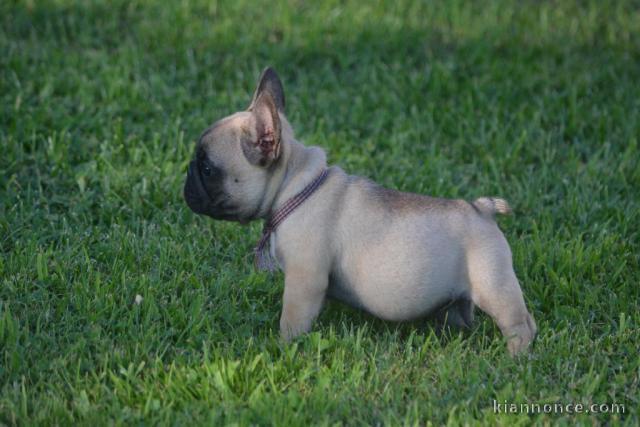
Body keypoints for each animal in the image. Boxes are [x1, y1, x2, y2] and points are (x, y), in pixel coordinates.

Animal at [184, 67, 536, 354]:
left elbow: (293, 319)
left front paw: (283, 346)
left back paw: (517, 356)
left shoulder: (304, 279)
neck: (294, 188)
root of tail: (482, 209)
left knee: (521, 323)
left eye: (207, 168)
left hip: (493, 284)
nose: (185, 180)